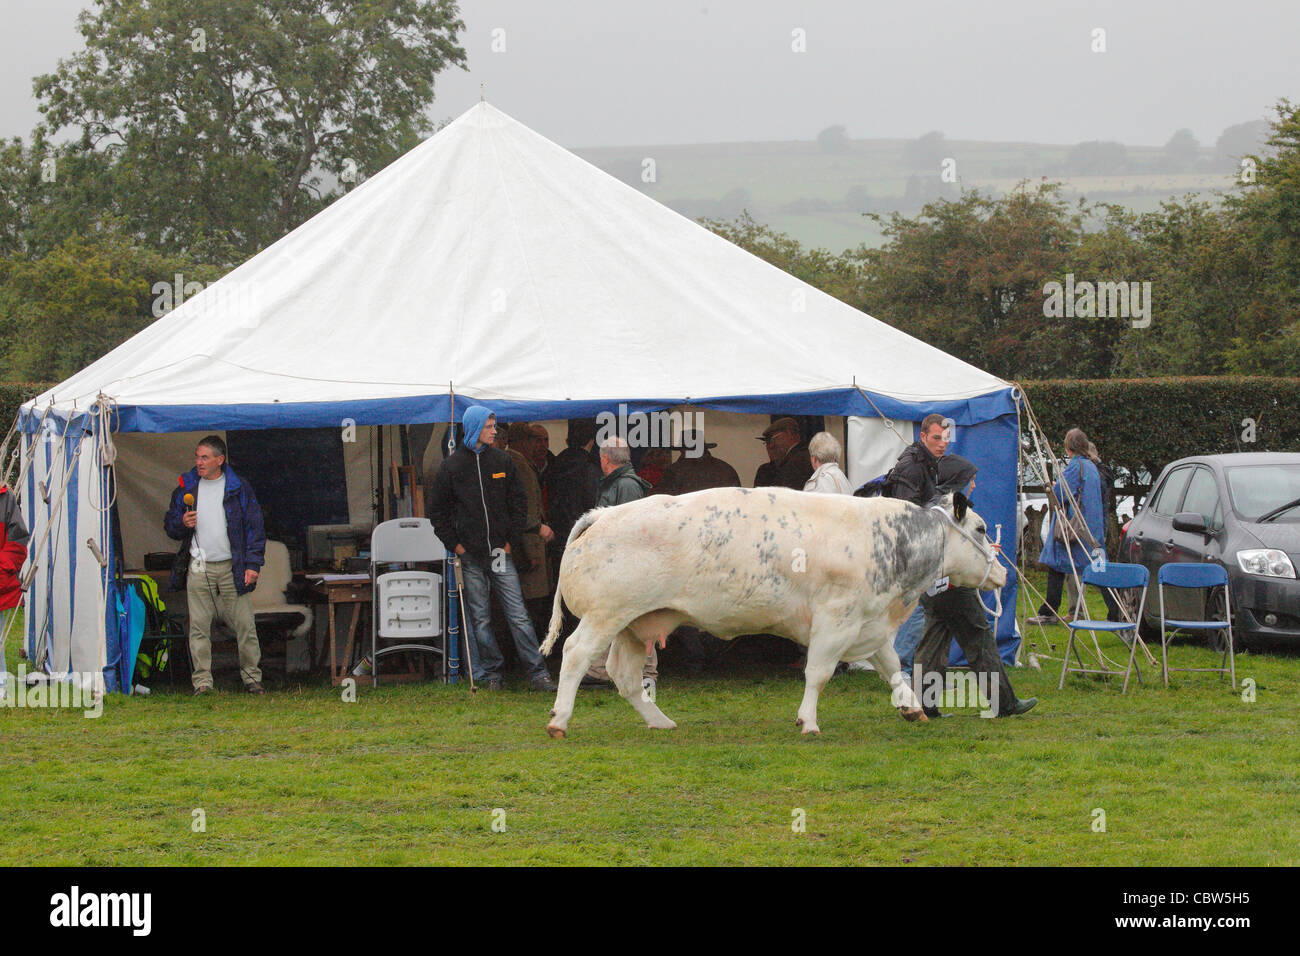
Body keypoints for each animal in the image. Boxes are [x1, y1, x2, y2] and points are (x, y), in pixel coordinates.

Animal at [538, 486, 1003, 738]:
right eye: (981, 529)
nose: (1001, 572)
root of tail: (604, 514)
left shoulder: (867, 623)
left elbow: (893, 668)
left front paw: (913, 707)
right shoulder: (835, 620)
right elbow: (818, 673)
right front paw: (809, 721)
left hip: (636, 624)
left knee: (626, 676)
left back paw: (660, 721)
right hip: (605, 615)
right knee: (576, 655)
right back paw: (560, 719)